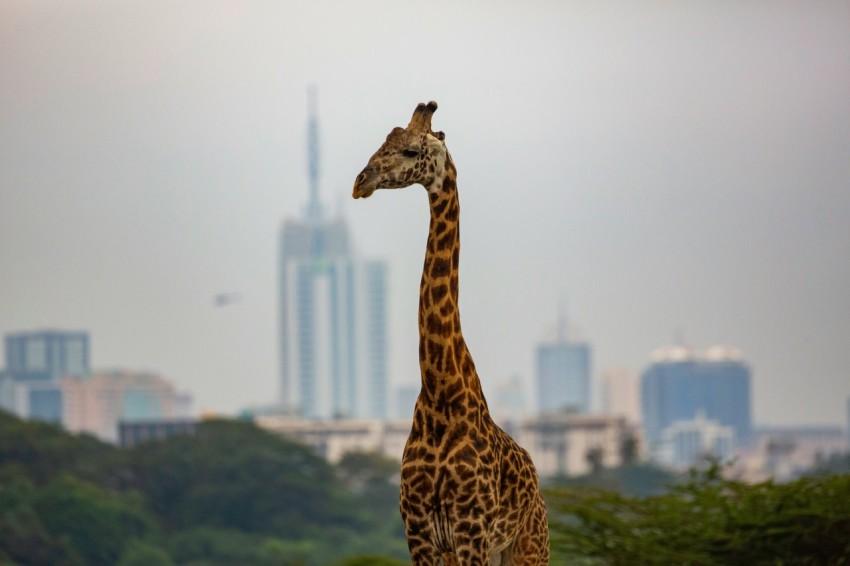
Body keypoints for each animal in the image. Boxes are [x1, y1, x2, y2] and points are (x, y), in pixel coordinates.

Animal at [352, 103, 548, 566]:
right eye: (382, 141)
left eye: (409, 150)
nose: (360, 182)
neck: (441, 391)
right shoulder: (419, 531)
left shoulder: (470, 528)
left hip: (528, 546)